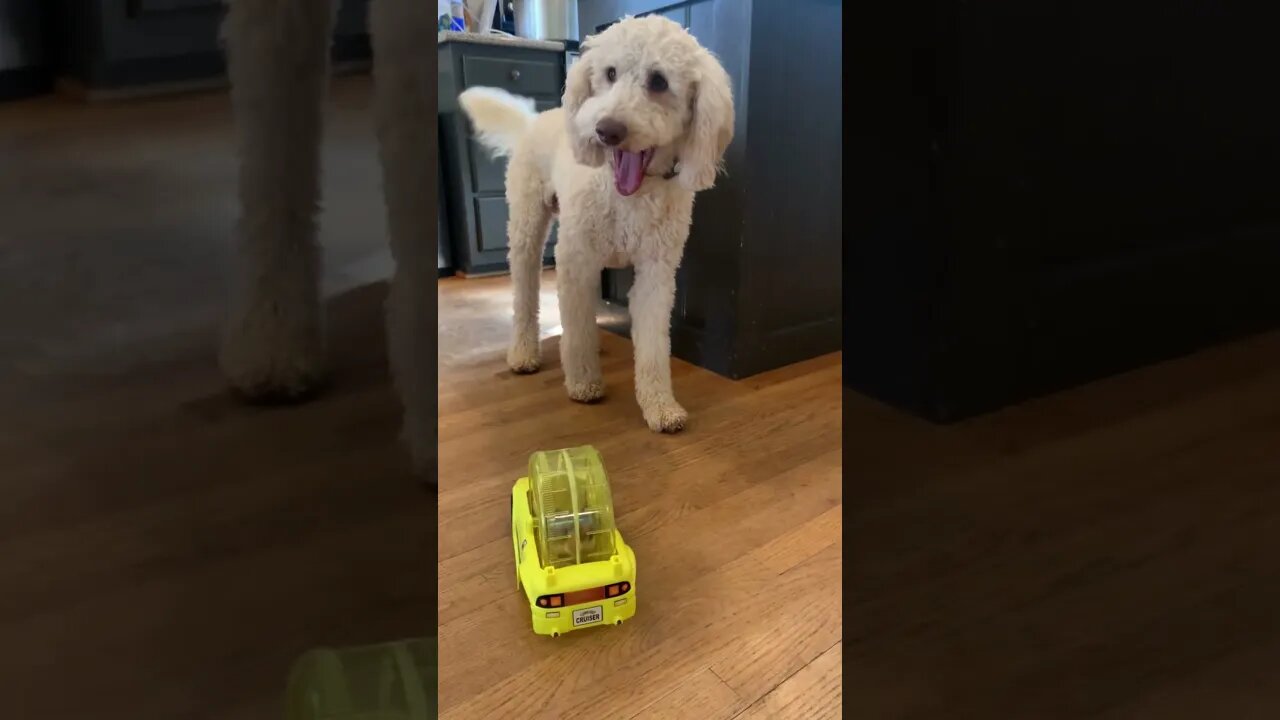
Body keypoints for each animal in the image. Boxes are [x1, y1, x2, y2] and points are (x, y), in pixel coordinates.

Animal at [463, 16, 742, 430]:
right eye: (610, 73)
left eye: (659, 81)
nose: (606, 130)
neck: (628, 194)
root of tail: (534, 120)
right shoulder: (575, 262)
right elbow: (576, 332)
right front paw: (583, 383)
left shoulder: (656, 274)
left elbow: (653, 345)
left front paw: (660, 406)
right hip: (527, 229)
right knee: (525, 296)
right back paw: (524, 352)